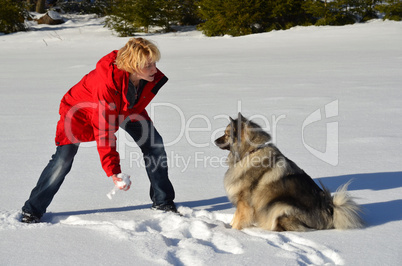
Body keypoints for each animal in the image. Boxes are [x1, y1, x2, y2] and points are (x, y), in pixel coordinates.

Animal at [215, 113, 362, 232]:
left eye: (226, 134)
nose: (215, 140)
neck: (251, 152)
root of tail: (329, 211)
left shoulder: (244, 203)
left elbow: (238, 220)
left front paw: (233, 231)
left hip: (280, 205)